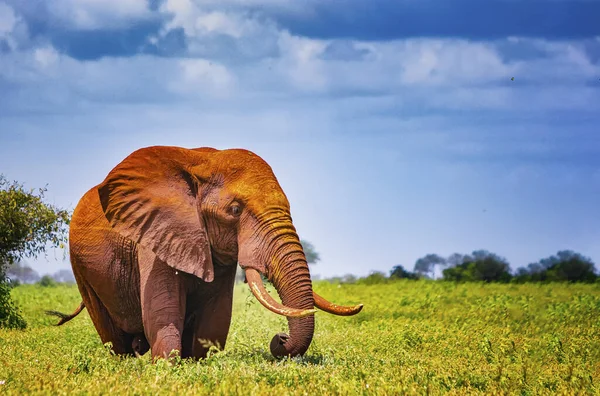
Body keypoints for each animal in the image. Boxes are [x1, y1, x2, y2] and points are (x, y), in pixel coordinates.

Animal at [48, 146, 360, 362]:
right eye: (235, 210)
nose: (280, 339)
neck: (203, 162)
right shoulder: (155, 236)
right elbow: (163, 316)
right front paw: (166, 368)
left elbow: (214, 321)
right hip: (81, 268)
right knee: (112, 336)